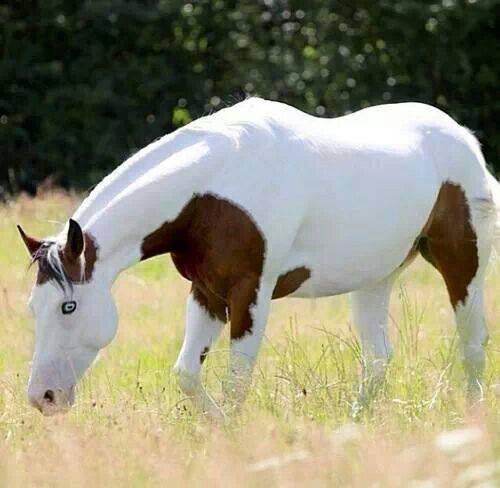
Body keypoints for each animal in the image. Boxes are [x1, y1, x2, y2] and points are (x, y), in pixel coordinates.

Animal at [17, 98, 498, 416]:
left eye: (68, 306)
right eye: (32, 307)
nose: (43, 398)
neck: (213, 189)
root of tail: (465, 140)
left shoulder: (250, 293)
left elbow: (236, 379)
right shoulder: (207, 291)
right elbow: (187, 373)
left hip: (463, 264)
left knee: (472, 344)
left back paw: (468, 418)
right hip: (375, 278)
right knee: (379, 357)